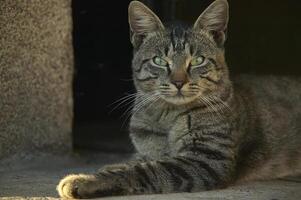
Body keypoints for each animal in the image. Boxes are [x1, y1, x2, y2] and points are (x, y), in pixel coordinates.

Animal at [56, 0, 300, 197]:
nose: (179, 82)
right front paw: (109, 169)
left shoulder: (205, 159)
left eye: (198, 60)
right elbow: (134, 162)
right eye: (159, 61)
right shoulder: (147, 150)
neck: (166, 118)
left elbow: (145, 170)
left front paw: (85, 180)